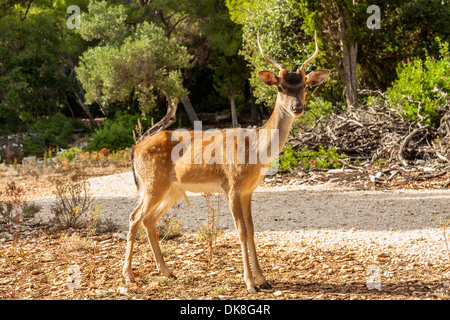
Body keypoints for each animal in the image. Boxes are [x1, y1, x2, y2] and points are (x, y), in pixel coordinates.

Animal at [123, 31, 330, 294]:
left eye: (304, 86)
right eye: (280, 87)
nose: (298, 108)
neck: (255, 150)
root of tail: (135, 149)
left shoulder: (248, 190)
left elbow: (252, 230)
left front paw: (263, 279)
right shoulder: (231, 186)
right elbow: (241, 231)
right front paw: (250, 283)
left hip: (172, 189)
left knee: (149, 219)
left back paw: (168, 272)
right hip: (152, 183)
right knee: (134, 218)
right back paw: (129, 276)